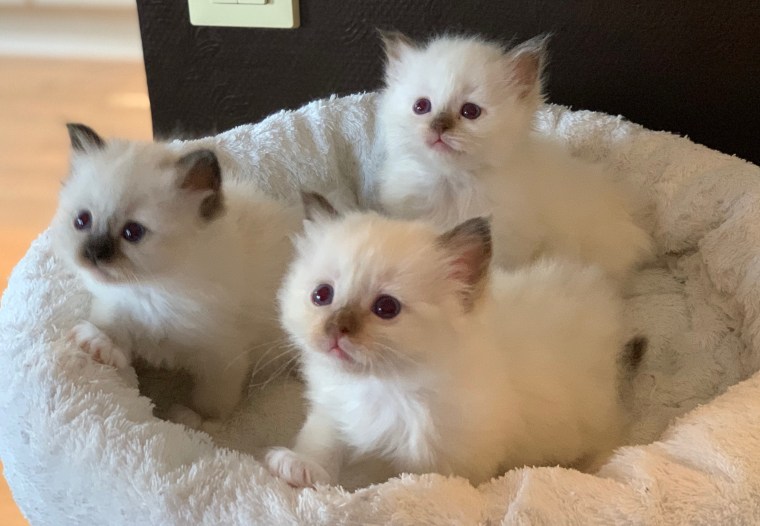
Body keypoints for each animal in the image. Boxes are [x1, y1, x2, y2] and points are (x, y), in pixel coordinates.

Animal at [52, 123, 302, 424]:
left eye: (132, 232)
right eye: (82, 221)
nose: (93, 254)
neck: (153, 287)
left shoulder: (221, 358)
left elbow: (211, 407)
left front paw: (191, 421)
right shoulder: (116, 307)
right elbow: (115, 341)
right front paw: (97, 345)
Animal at [265, 194, 643, 487]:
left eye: (386, 308)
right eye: (322, 295)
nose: (336, 329)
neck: (384, 385)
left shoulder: (444, 462)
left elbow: (399, 485)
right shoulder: (334, 410)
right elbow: (322, 444)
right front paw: (299, 467)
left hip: (593, 419)